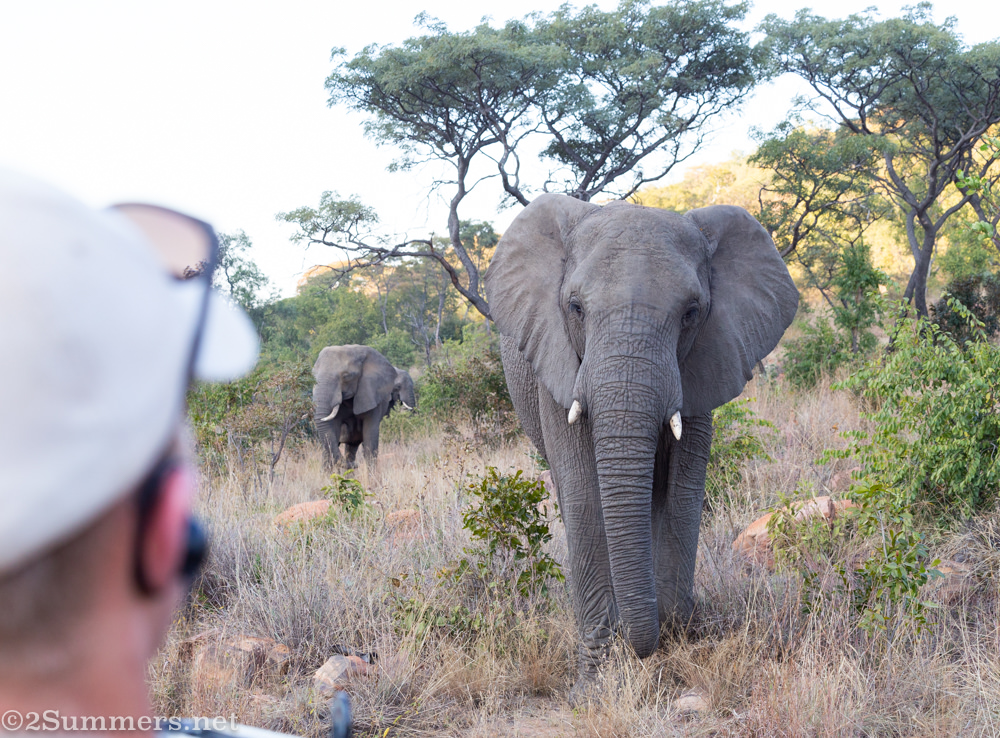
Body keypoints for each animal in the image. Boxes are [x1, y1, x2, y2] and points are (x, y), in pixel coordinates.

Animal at [484, 193, 798, 700]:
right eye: (575, 307)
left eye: (691, 312)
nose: (643, 648)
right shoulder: (558, 364)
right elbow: (585, 497)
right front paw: (593, 686)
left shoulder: (704, 363)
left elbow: (681, 494)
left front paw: (677, 638)